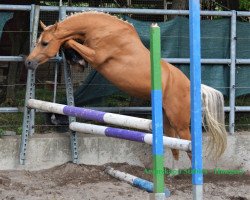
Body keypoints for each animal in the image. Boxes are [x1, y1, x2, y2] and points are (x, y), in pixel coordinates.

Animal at [25, 11, 229, 161]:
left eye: (45, 43)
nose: (28, 62)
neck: (103, 29)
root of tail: (193, 85)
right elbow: (71, 44)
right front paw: (74, 58)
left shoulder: (96, 56)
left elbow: (70, 41)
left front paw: (73, 53)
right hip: (166, 117)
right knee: (173, 146)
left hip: (179, 121)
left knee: (187, 145)